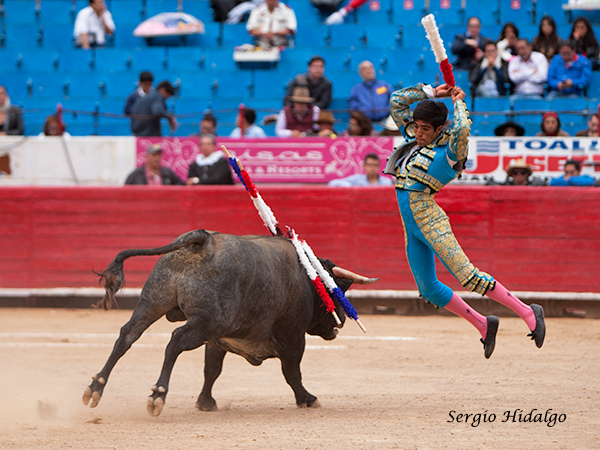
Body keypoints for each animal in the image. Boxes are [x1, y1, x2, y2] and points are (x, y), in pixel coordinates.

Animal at [82, 230, 378, 416]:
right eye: (335, 290)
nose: (340, 323)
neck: (306, 277)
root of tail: (202, 240)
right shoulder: (293, 336)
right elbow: (292, 372)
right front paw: (307, 399)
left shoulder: (218, 339)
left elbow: (211, 369)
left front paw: (205, 403)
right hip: (205, 322)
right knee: (175, 340)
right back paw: (157, 395)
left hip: (153, 302)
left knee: (127, 335)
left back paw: (95, 387)